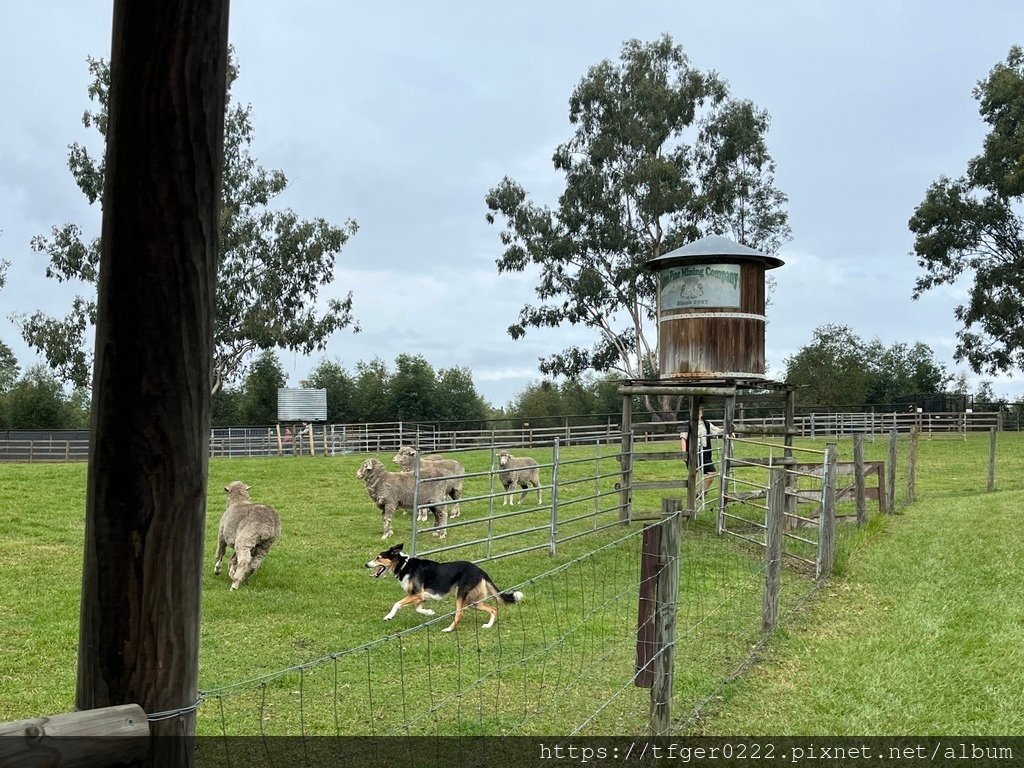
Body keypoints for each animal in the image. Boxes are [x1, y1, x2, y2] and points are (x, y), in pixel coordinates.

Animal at [366, 544, 524, 634]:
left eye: (378, 557)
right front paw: (429, 612)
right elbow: (418, 609)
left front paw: (389, 616)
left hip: (461, 596)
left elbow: (397, 604)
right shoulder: (421, 596)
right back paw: (488, 626)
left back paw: (448, 629)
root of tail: (481, 571)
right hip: (474, 601)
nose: (365, 564)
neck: (403, 565)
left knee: (459, 614)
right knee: (494, 609)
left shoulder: (417, 594)